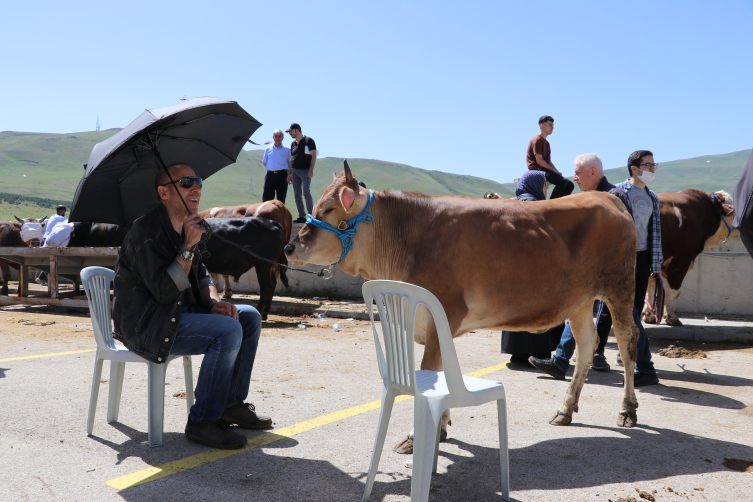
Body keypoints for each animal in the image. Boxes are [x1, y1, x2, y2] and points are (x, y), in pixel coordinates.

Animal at [286, 163, 640, 452]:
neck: (404, 240)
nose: (290, 247)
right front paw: (441, 428)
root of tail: (606, 198)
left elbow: (432, 376)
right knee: (587, 344)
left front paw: (418, 437)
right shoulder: (437, 323)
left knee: (627, 341)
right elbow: (442, 374)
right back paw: (565, 410)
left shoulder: (441, 313)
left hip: (620, 287)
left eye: (328, 208)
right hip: (579, 300)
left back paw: (627, 410)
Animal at [636, 188, 736, 326]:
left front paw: (649, 315)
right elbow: (675, 290)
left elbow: (651, 284)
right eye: (734, 212)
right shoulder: (680, 260)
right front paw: (672, 317)